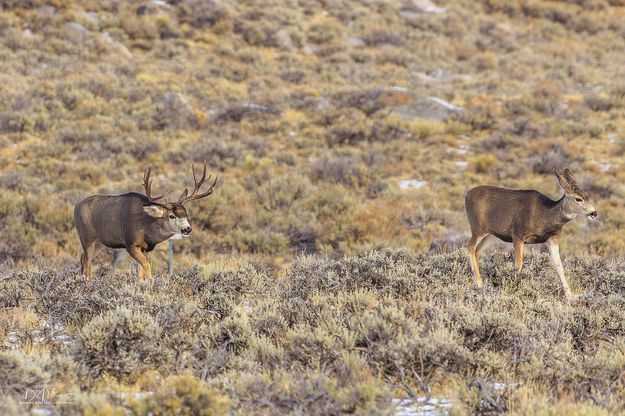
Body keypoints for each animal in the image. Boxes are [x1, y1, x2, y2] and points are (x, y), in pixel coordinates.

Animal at [73, 163, 217, 280]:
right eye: (171, 216)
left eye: (186, 214)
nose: (188, 229)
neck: (146, 226)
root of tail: (76, 207)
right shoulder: (131, 243)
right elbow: (147, 266)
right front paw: (150, 285)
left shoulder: (144, 248)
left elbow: (140, 272)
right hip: (87, 237)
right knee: (87, 262)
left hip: (99, 243)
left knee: (83, 258)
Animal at [466, 169, 596, 302]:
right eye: (578, 199)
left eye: (587, 196)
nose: (593, 213)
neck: (545, 215)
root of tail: (467, 195)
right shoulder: (517, 235)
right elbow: (518, 264)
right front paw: (516, 289)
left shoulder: (552, 238)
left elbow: (558, 265)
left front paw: (570, 295)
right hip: (477, 227)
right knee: (470, 246)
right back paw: (479, 284)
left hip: (491, 234)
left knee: (477, 250)